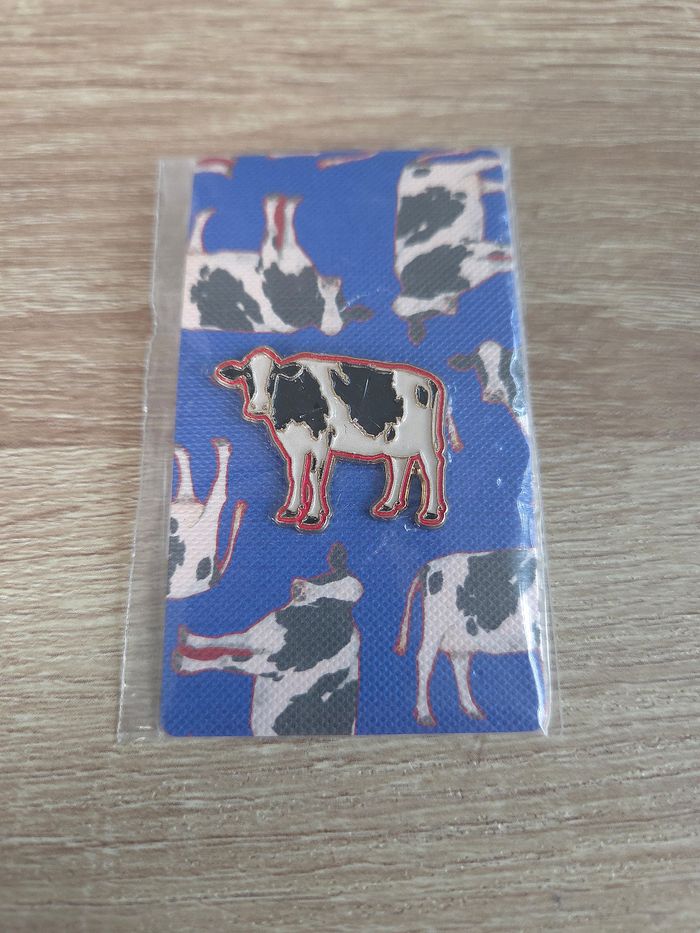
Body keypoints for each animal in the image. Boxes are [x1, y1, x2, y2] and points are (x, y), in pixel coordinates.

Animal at [172, 543, 363, 736]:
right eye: (328, 577)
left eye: (331, 603)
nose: (299, 589)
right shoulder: (256, 636)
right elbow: (225, 640)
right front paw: (188, 638)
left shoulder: (274, 666)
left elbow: (227, 660)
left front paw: (185, 664)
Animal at [183, 195, 372, 334]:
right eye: (341, 299)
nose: (335, 282)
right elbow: (283, 234)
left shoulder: (271, 264)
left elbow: (277, 233)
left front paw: (276, 205)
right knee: (194, 242)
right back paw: (204, 215)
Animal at [214, 347, 449, 531]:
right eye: (247, 375)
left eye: (273, 376)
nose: (258, 407)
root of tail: (428, 381)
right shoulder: (293, 444)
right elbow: (296, 474)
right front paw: (291, 510)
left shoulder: (321, 440)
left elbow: (314, 476)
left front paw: (312, 515)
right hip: (397, 440)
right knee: (400, 466)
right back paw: (388, 505)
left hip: (423, 440)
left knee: (432, 466)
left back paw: (430, 512)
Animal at [393, 156, 513, 344]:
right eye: (427, 315)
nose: (451, 310)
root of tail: (411, 168)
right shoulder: (480, 268)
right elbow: (502, 264)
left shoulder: (468, 245)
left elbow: (502, 250)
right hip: (475, 184)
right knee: (493, 184)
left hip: (457, 170)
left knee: (480, 161)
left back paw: (495, 160)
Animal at [393, 548, 539, 726]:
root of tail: (430, 565)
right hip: (436, 625)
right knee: (425, 660)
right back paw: (424, 714)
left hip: (460, 635)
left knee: (460, 665)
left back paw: (471, 709)